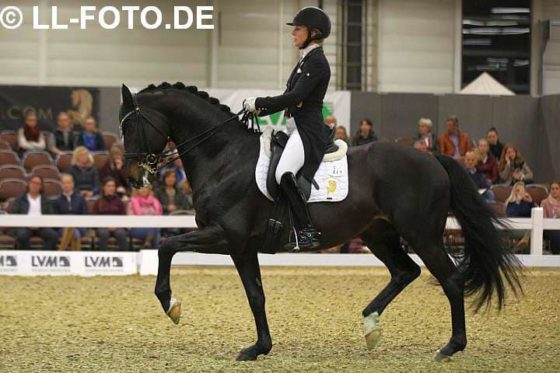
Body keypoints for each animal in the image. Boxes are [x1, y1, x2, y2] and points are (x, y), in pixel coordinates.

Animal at [118, 81, 520, 360]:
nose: (132, 178)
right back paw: (370, 324)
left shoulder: (227, 236)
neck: (225, 158)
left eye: (130, 127)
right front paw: (260, 347)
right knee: (406, 271)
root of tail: (432, 156)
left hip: (421, 234)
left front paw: (171, 305)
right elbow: (255, 295)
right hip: (378, 234)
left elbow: (168, 245)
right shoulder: (240, 246)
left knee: (450, 279)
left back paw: (450, 347)